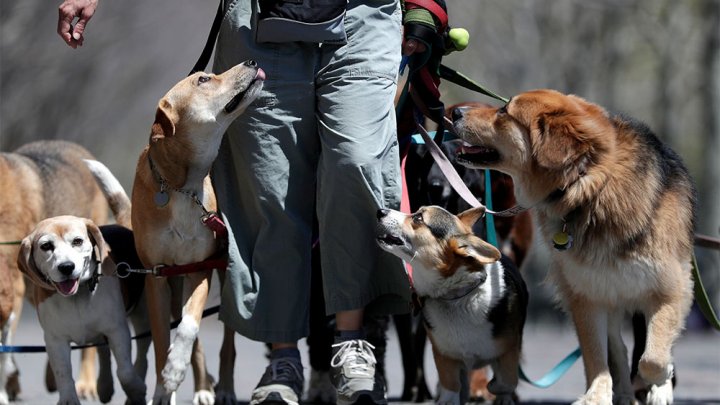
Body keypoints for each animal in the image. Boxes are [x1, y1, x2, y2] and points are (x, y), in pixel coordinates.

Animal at [376, 205, 528, 404]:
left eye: (418, 218)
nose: (380, 211)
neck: (456, 296)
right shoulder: (444, 356)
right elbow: (451, 385)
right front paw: (447, 398)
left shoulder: (509, 350)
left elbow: (507, 380)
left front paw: (493, 388)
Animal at [450, 90, 696, 404]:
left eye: (505, 111)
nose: (455, 113)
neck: (588, 183)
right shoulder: (584, 296)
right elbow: (596, 357)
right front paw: (596, 396)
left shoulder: (670, 287)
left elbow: (653, 358)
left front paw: (661, 383)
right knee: (617, 348)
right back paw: (623, 393)